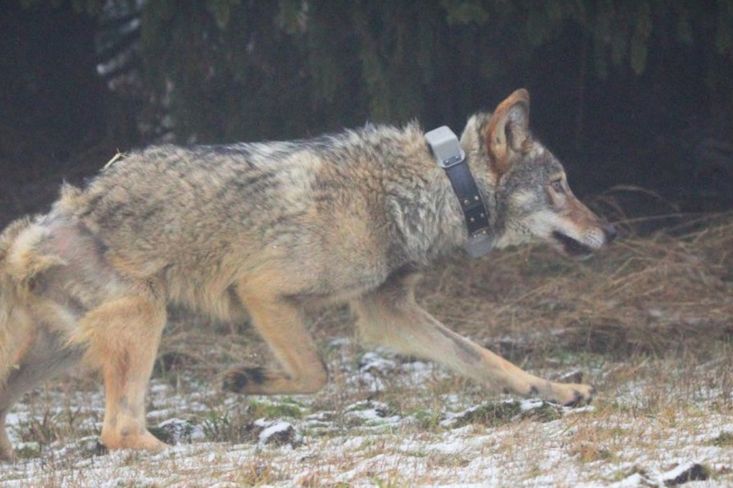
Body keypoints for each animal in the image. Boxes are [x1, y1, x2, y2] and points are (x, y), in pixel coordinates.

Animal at [0, 89, 616, 460]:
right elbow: (317, 373)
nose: (610, 232)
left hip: (59, 355)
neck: (431, 188)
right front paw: (244, 381)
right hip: (144, 319)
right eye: (560, 185)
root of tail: (35, 227)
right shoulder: (263, 294)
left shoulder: (388, 311)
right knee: (119, 429)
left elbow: (489, 360)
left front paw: (560, 392)